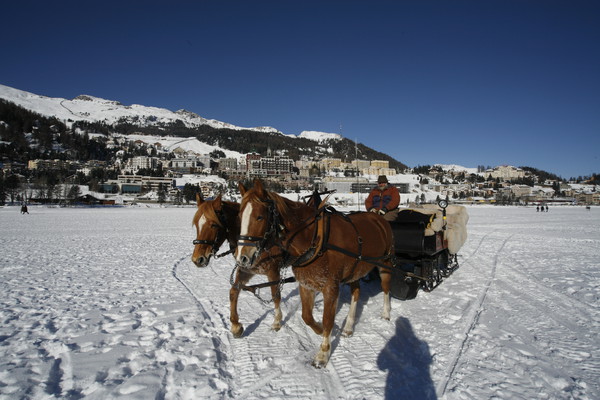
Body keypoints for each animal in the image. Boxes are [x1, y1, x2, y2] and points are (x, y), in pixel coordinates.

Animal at [192, 194, 286, 338]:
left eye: (213, 225)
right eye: (197, 224)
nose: (197, 259)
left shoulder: (273, 271)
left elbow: (276, 295)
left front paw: (276, 322)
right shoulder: (245, 269)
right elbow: (233, 291)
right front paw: (236, 325)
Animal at [237, 180, 396, 368]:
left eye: (260, 217)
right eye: (239, 216)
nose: (242, 258)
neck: (315, 240)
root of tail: (378, 217)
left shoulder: (331, 287)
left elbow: (328, 319)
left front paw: (323, 353)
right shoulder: (306, 284)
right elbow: (307, 316)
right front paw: (320, 330)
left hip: (385, 263)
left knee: (386, 287)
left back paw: (386, 313)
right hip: (355, 269)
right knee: (356, 292)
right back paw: (349, 326)